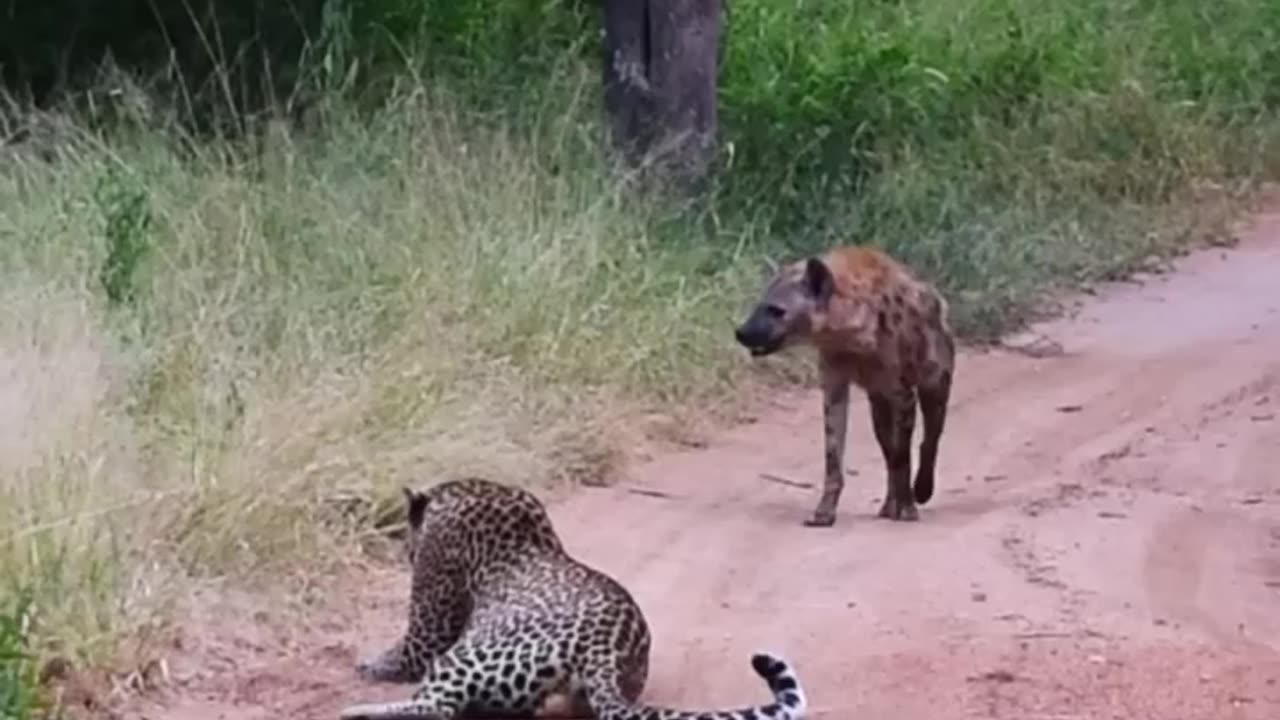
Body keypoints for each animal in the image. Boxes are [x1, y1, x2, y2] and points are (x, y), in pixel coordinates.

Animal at [335, 476, 803, 717]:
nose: (406, 553)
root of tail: (607, 652)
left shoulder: (429, 631)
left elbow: (405, 652)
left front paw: (367, 664)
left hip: (462, 657)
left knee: (435, 707)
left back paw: (356, 712)